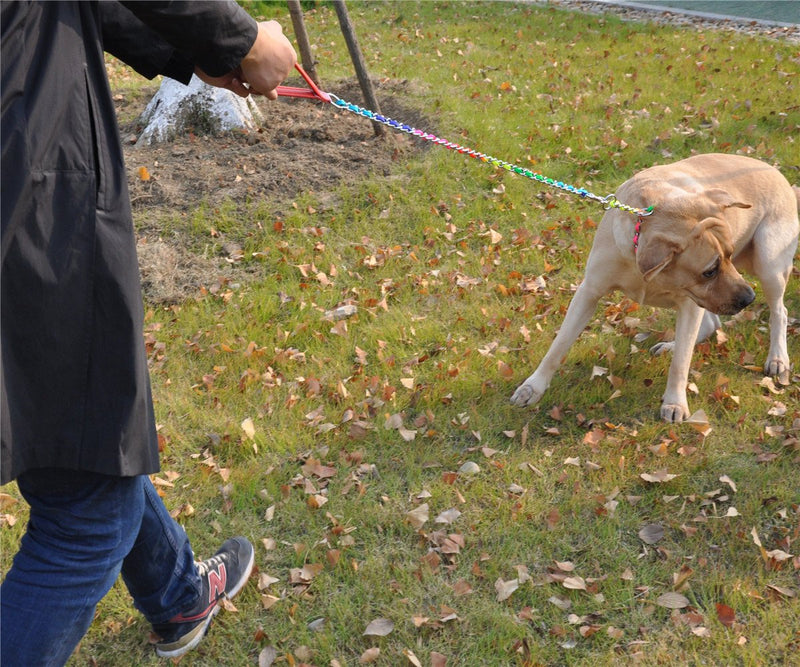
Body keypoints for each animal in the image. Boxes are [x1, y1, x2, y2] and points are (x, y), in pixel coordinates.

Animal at [516, 154, 796, 420]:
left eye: (729, 253)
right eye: (709, 271)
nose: (749, 298)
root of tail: (776, 172)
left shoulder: (689, 304)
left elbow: (681, 363)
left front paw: (674, 402)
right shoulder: (589, 292)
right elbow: (559, 345)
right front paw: (534, 386)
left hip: (769, 265)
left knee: (779, 312)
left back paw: (777, 358)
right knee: (710, 325)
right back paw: (670, 346)